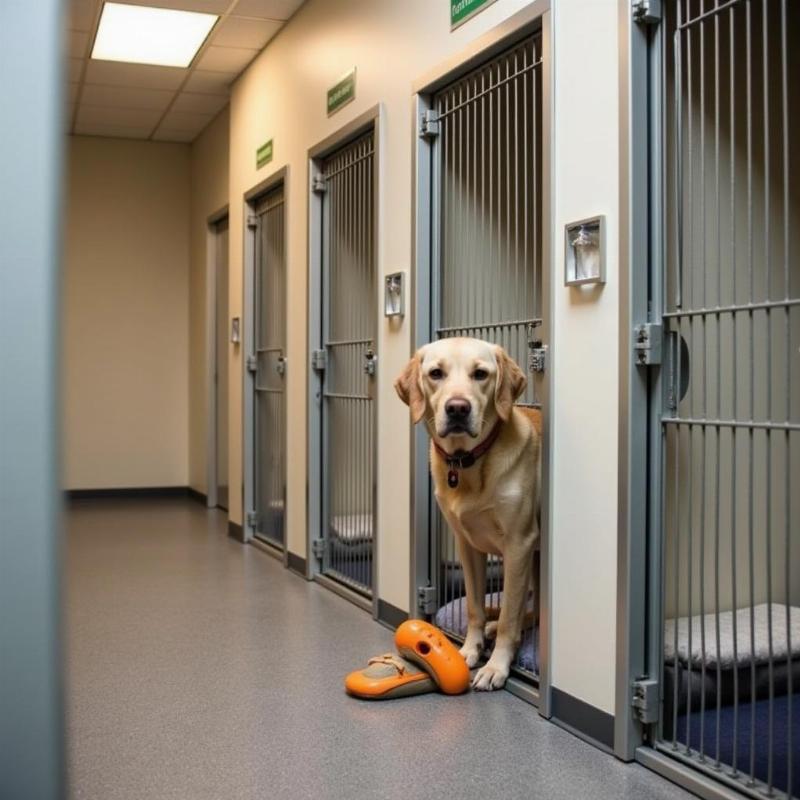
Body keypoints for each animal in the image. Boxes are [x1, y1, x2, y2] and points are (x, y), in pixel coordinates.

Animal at [396, 336, 544, 688]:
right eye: (436, 373)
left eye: (480, 374)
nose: (458, 408)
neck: (468, 463)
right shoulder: (468, 545)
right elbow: (476, 607)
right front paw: (469, 650)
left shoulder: (519, 545)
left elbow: (509, 617)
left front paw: (496, 666)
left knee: (527, 612)